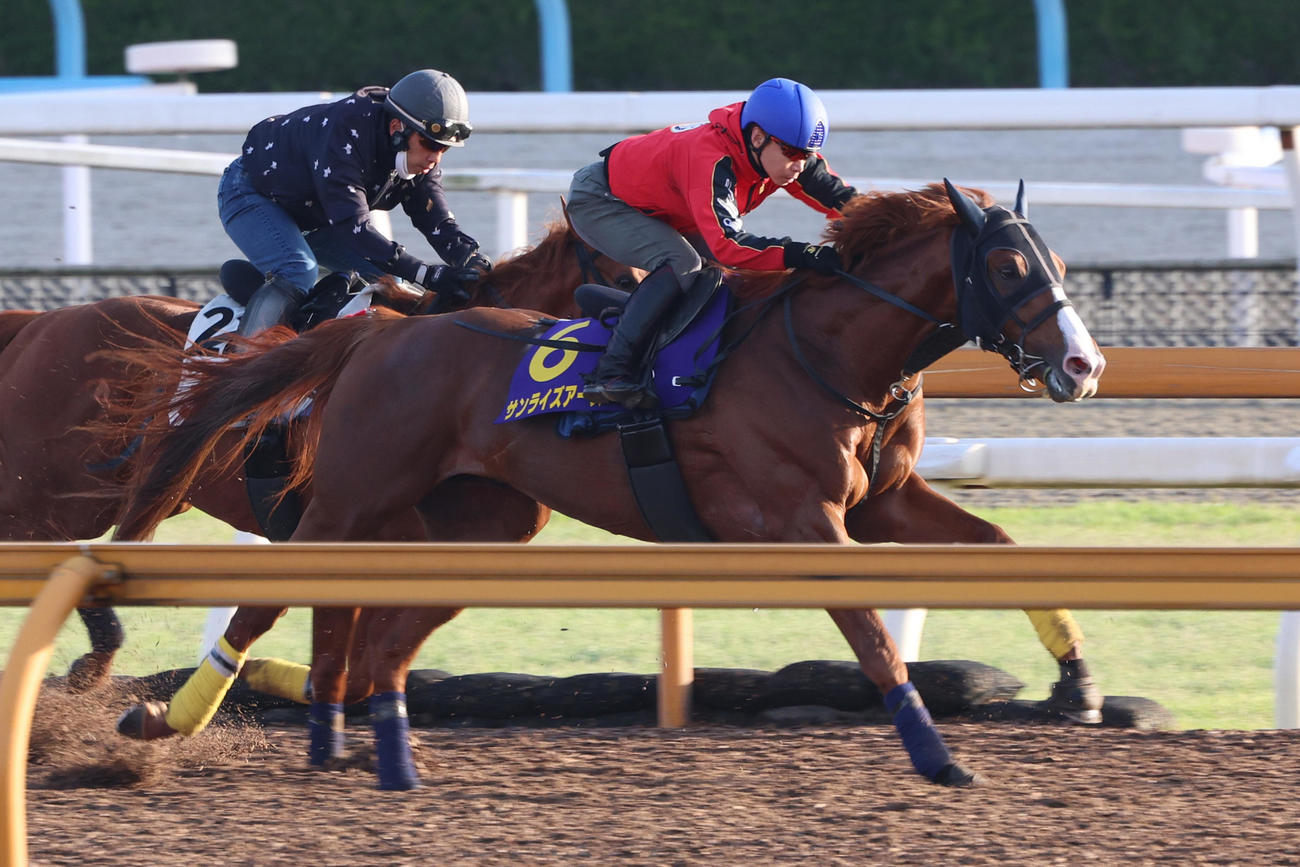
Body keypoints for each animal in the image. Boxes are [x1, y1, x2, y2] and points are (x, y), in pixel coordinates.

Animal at [109, 181, 1105, 789]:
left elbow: (1004, 549)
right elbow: (872, 638)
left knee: (375, 631)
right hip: (351, 497)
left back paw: (364, 746)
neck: (822, 349)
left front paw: (1078, 679)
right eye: (1009, 266)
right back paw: (164, 718)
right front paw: (937, 754)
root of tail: (379, 333)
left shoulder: (883, 503)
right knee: (269, 601)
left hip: (477, 523)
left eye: (1058, 264)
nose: (1084, 366)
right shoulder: (800, 519)